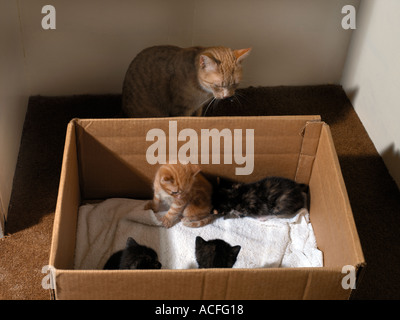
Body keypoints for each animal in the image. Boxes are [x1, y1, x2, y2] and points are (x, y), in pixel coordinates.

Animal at [123, 45, 252, 118]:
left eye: (235, 84)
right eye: (217, 85)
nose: (227, 96)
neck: (202, 93)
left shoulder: (199, 108)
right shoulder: (181, 110)